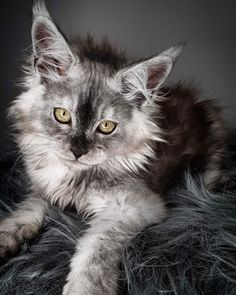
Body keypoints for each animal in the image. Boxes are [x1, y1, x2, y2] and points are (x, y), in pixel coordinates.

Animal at [0, 2, 226, 295]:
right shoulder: (44, 187)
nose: (77, 151)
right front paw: (6, 235)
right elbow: (26, 210)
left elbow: (95, 248)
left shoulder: (136, 207)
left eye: (106, 126)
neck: (77, 178)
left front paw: (85, 288)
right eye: (62, 115)